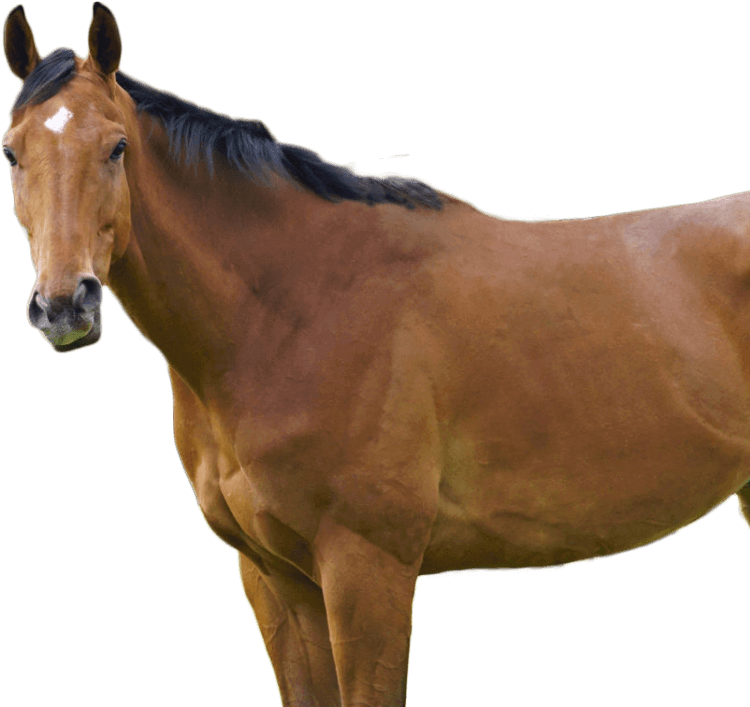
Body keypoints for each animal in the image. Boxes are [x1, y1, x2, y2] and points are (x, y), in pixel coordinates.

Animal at [4, 4, 748, 705]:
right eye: (12, 153)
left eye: (117, 147)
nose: (64, 305)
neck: (295, 308)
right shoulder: (275, 578)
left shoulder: (366, 568)